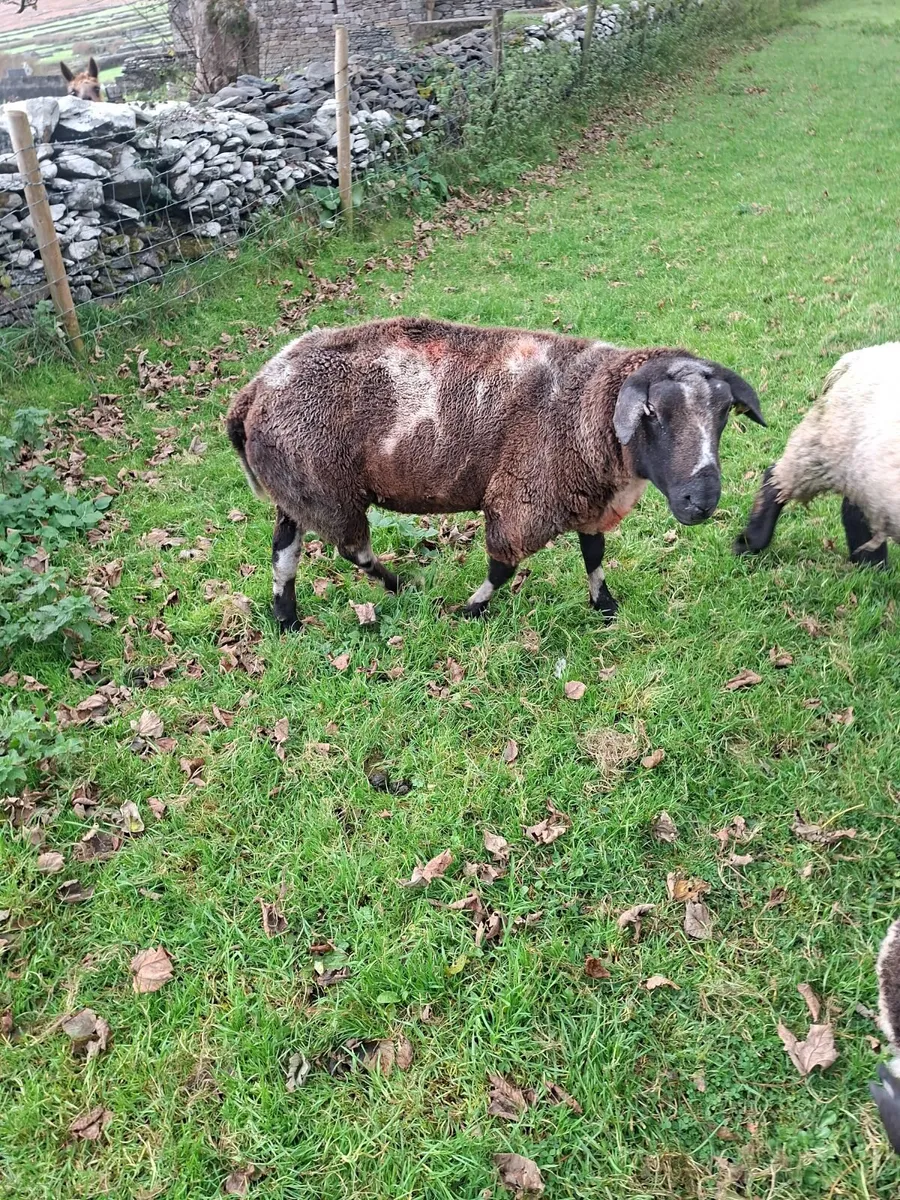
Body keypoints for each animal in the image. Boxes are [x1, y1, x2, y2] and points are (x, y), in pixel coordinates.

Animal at [225, 317, 764, 631]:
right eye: (652, 413)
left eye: (724, 415)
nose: (701, 501)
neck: (586, 407)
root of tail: (251, 393)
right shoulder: (524, 497)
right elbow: (503, 567)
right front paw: (470, 610)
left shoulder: (585, 498)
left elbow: (593, 554)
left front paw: (605, 605)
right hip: (327, 488)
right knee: (351, 549)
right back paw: (401, 585)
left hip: (299, 488)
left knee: (285, 553)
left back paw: (287, 619)